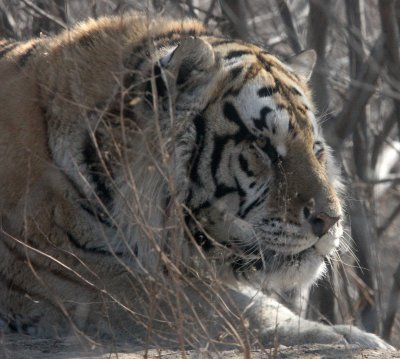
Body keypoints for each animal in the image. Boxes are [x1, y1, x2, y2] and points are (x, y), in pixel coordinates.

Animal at [0, 11, 394, 352]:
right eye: (264, 146)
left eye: (316, 150)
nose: (330, 220)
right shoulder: (76, 271)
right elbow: (230, 311)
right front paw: (350, 339)